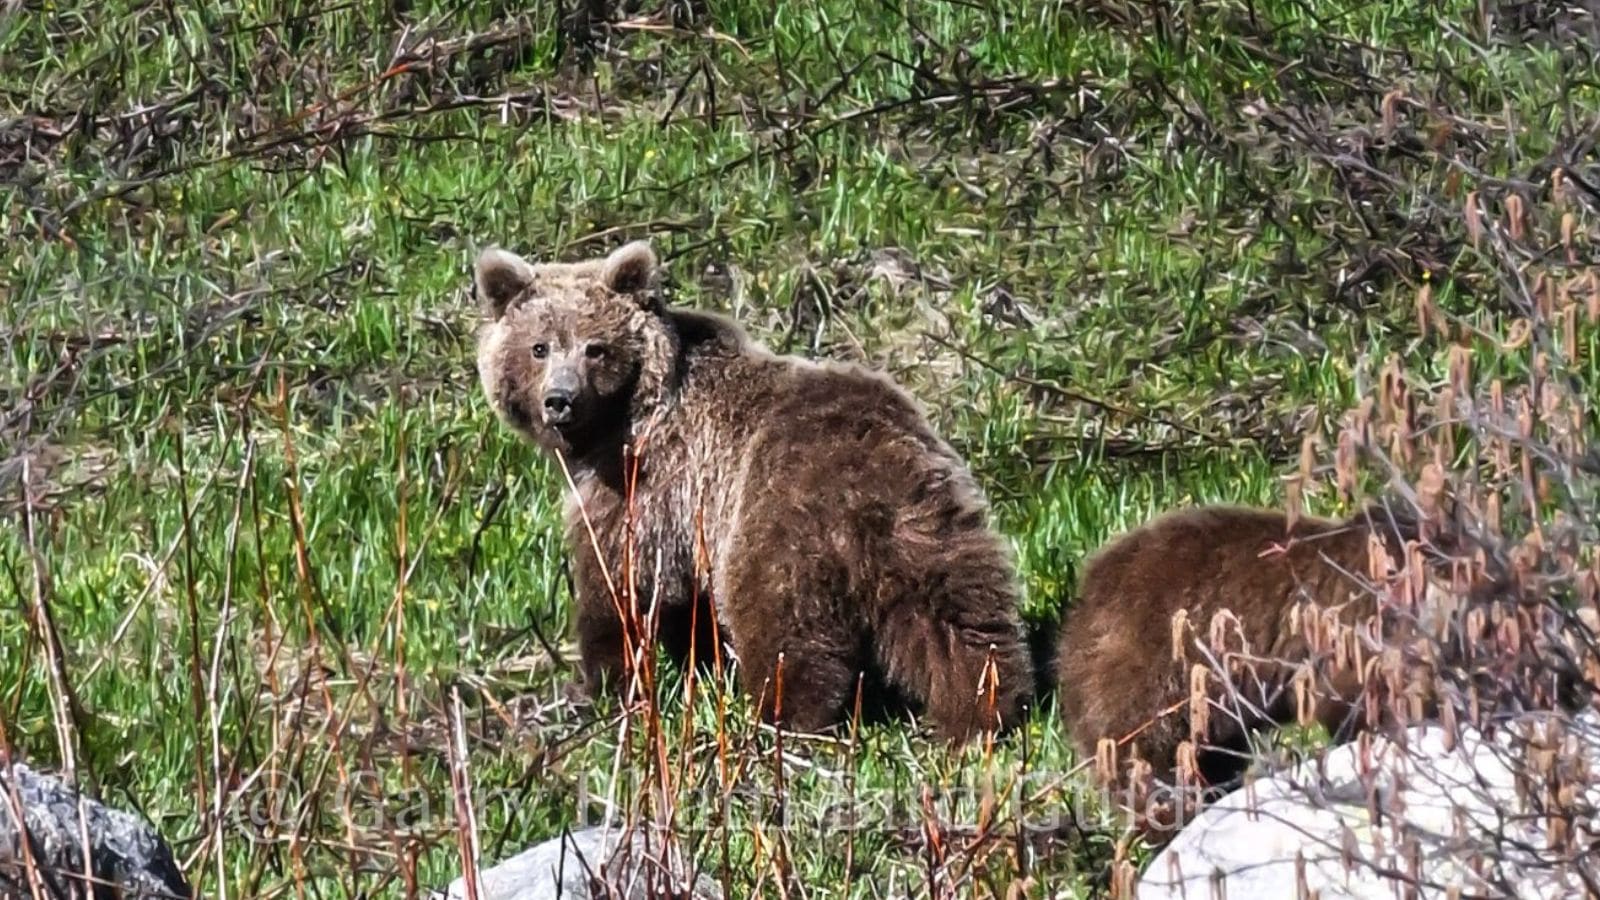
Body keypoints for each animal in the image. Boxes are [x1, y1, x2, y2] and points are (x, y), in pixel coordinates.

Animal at [473, 238, 1033, 742]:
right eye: (539, 347)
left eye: (595, 348)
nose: (560, 400)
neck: (619, 419)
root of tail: (868, 481)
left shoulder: (649, 480)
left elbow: (622, 579)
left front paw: (599, 681)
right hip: (928, 526)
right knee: (961, 618)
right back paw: (982, 712)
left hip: (778, 523)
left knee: (782, 627)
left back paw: (780, 717)